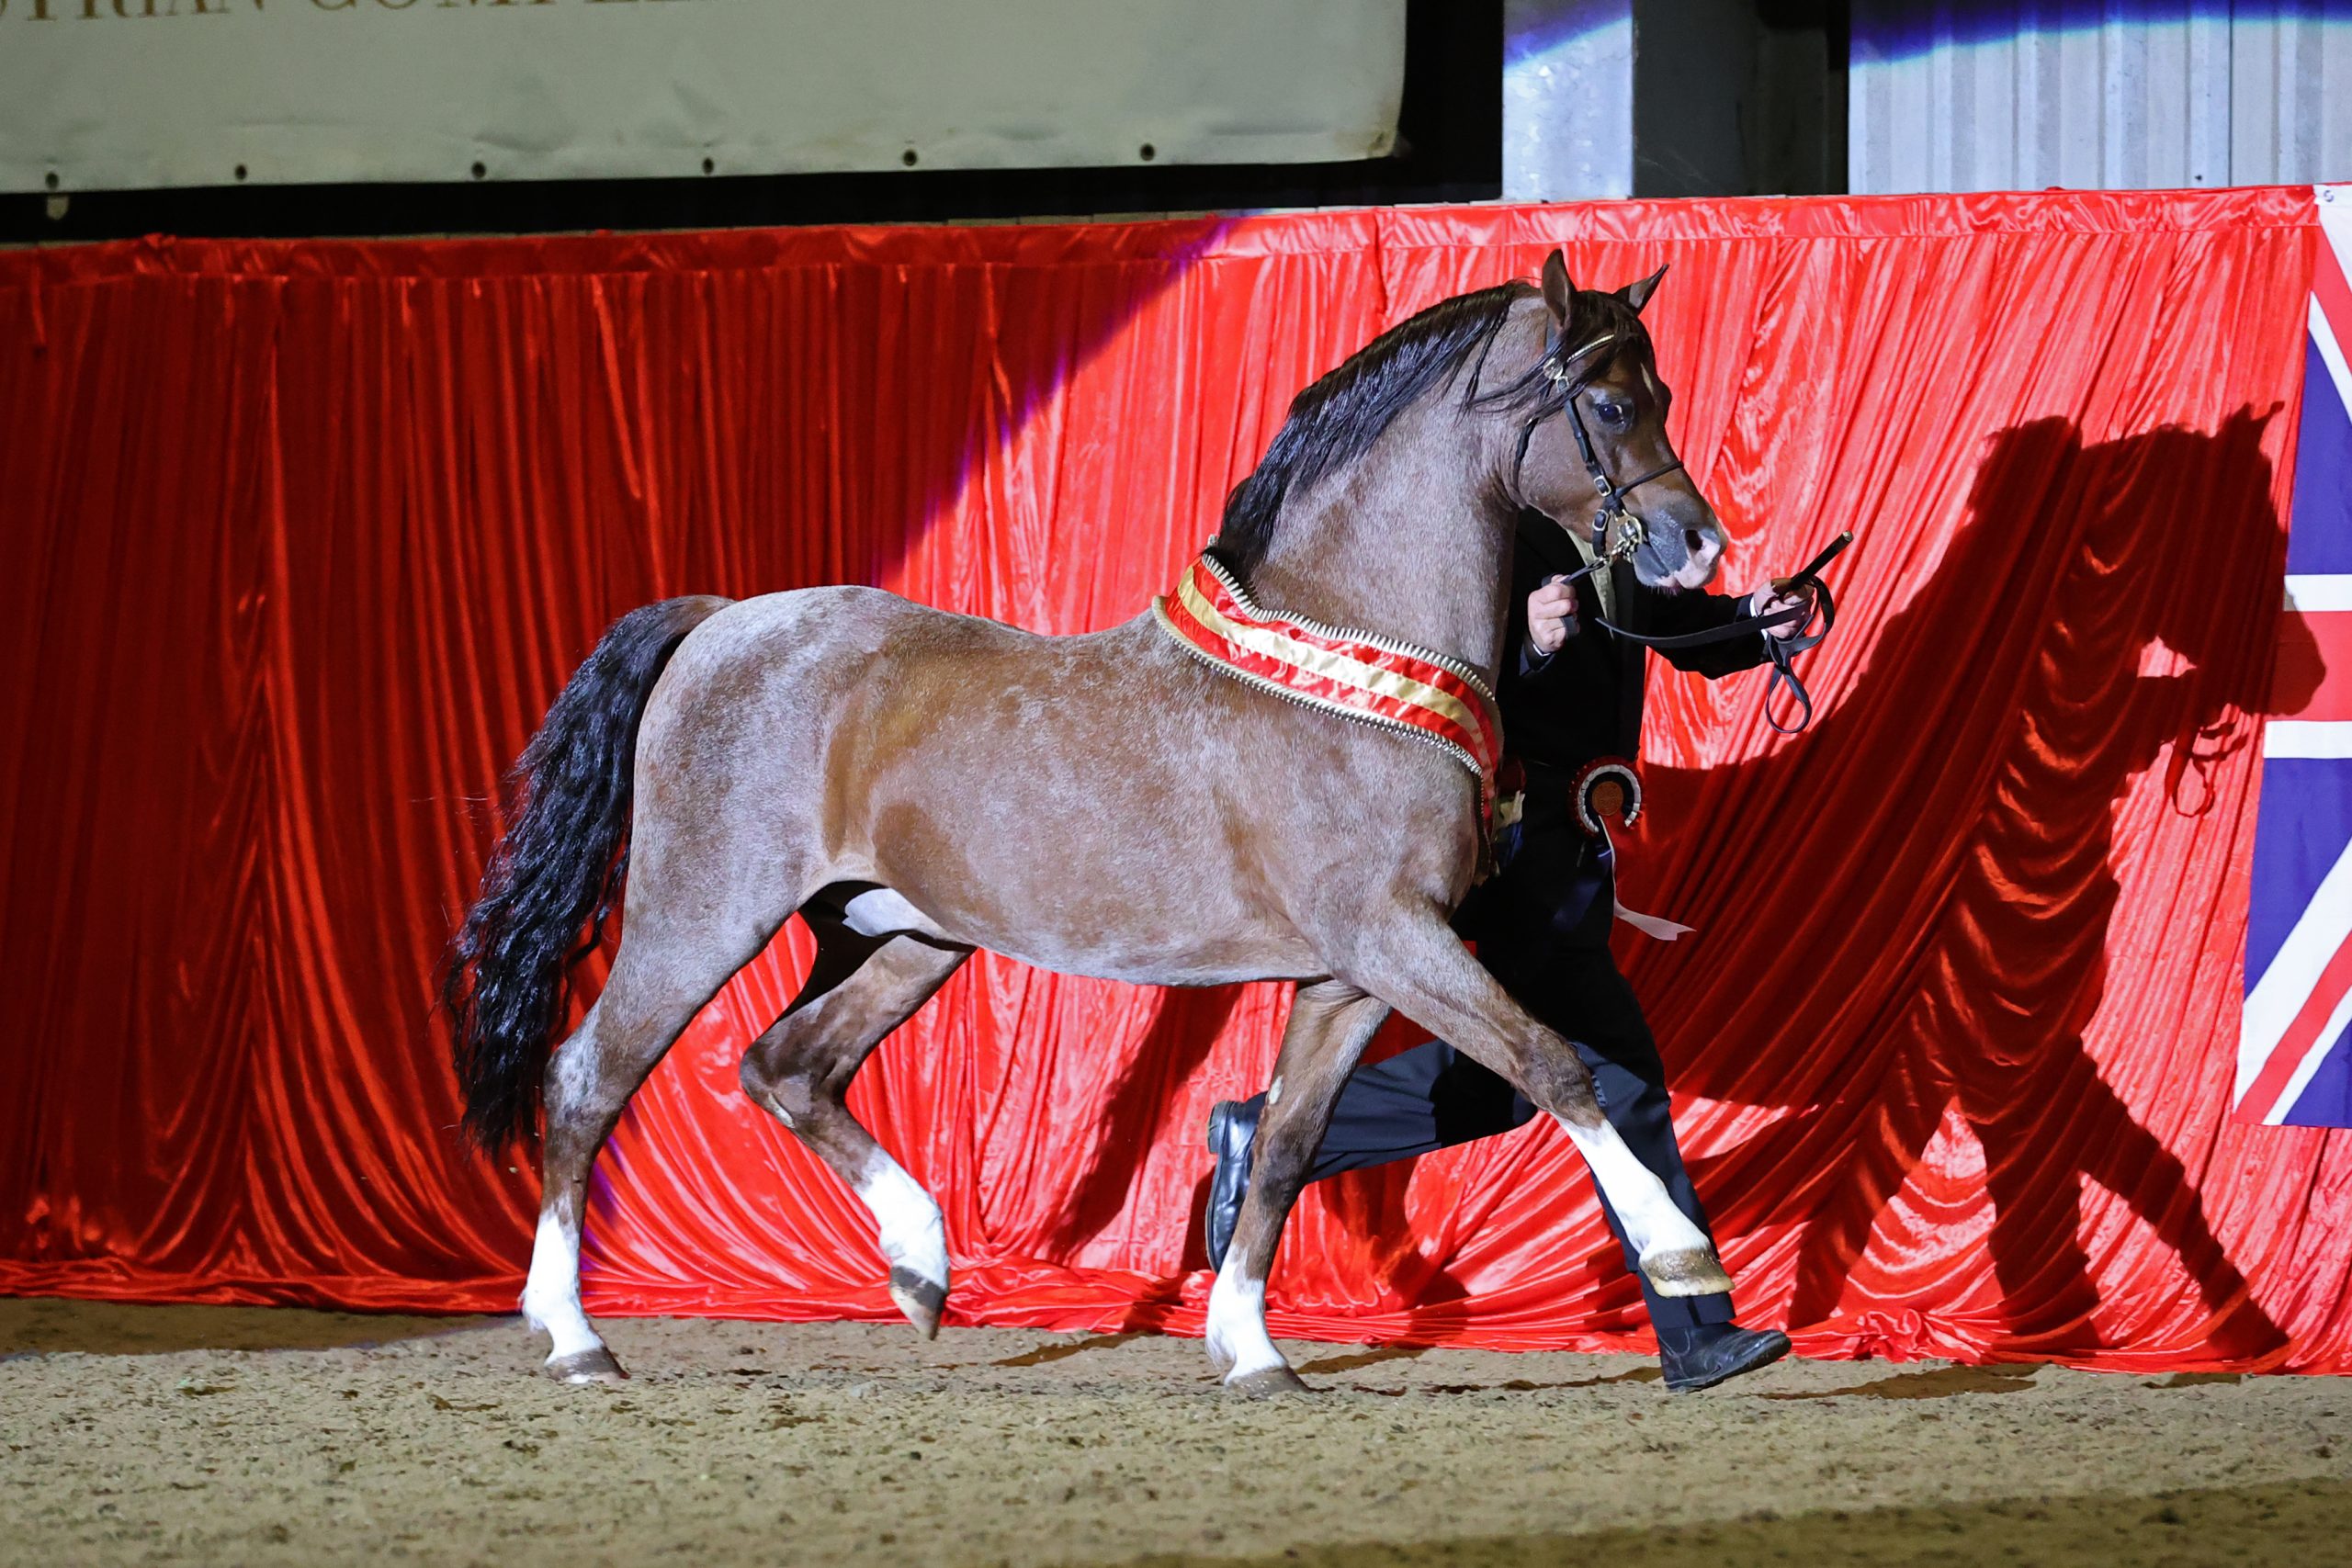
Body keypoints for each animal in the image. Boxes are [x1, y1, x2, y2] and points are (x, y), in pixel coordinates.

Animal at [448, 251, 1749, 1392]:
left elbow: (1284, 1148)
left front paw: (1252, 1351)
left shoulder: (1347, 977)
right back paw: (575, 1338)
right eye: (1609, 400)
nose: (1698, 547)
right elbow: (1553, 1061)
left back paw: (922, 1269)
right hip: (701, 913)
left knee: (788, 1065)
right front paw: (1680, 1255)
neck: (1347, 656)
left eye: (1661, 392)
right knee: (589, 1077)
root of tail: (718, 622)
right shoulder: (1392, 938)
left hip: (908, 935)